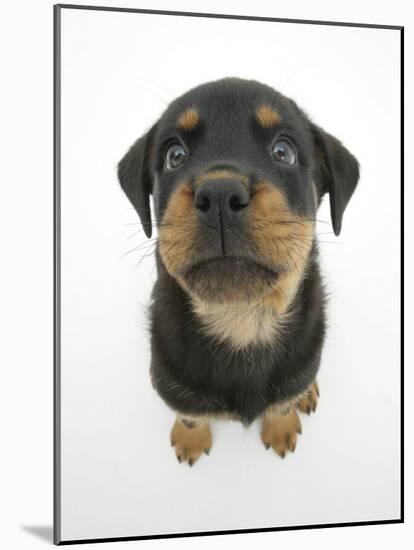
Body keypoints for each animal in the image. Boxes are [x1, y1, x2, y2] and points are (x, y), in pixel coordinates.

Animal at [117, 76, 360, 466]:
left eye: (283, 152)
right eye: (174, 156)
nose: (219, 195)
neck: (243, 320)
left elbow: (281, 404)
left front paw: (281, 427)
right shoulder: (171, 384)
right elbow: (189, 414)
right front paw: (190, 439)